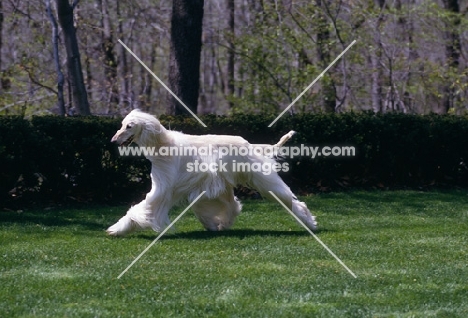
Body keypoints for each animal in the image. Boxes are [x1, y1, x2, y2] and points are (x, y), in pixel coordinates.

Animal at [108, 109, 316, 236]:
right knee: (233, 206)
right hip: (223, 185)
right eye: (122, 124)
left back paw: (309, 222)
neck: (162, 145)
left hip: (263, 180)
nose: (113, 141)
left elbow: (143, 207)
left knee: (292, 201)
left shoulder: (162, 189)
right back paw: (223, 224)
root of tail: (248, 144)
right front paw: (213, 224)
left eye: (129, 126)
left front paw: (118, 228)